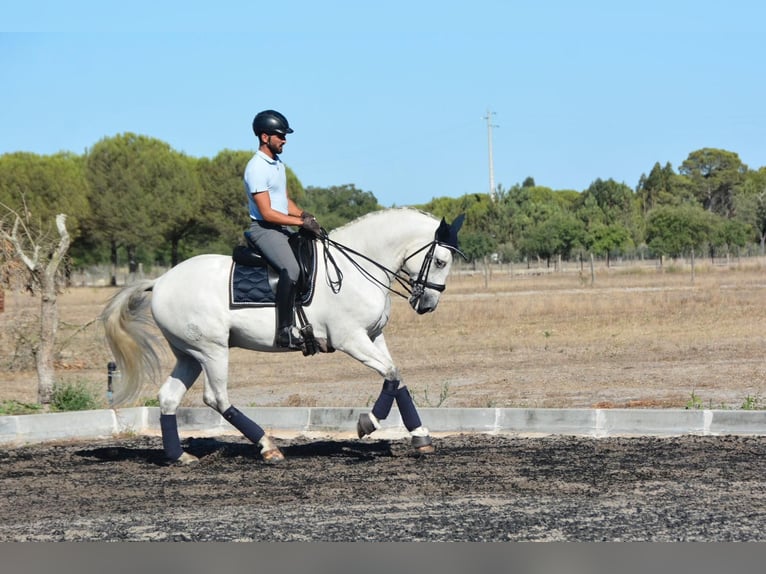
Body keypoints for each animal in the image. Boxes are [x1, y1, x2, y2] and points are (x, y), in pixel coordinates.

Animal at [100, 209, 462, 466]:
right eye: (440, 261)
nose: (427, 304)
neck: (356, 268)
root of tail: (161, 281)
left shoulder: (374, 337)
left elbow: (397, 377)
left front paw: (421, 437)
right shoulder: (351, 340)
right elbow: (390, 374)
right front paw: (367, 423)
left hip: (189, 355)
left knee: (169, 398)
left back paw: (180, 456)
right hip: (212, 351)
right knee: (216, 398)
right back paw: (268, 446)